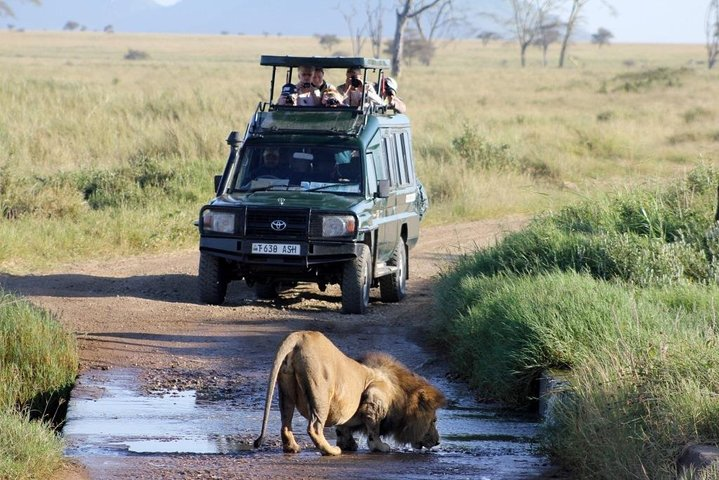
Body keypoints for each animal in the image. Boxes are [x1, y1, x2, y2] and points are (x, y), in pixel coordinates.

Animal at [252, 330, 444, 458]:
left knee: (285, 424)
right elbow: (374, 429)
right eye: (433, 421)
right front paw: (379, 447)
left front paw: (348, 444)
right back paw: (330, 451)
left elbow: (343, 428)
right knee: (314, 427)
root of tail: (300, 336)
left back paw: (292, 448)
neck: (399, 393)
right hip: (320, 393)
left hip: (286, 391)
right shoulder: (375, 397)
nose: (438, 442)